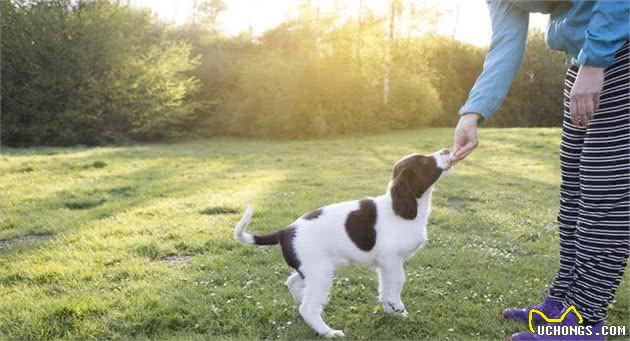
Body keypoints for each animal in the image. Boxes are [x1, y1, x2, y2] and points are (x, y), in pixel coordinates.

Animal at [235, 149, 452, 338]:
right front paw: (397, 306)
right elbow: (398, 282)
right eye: (424, 162)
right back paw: (328, 332)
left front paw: (392, 311)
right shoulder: (391, 260)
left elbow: (385, 287)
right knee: (308, 307)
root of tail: (285, 231)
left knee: (293, 283)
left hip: (311, 270)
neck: (400, 207)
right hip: (320, 273)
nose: (448, 150)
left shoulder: (385, 265)